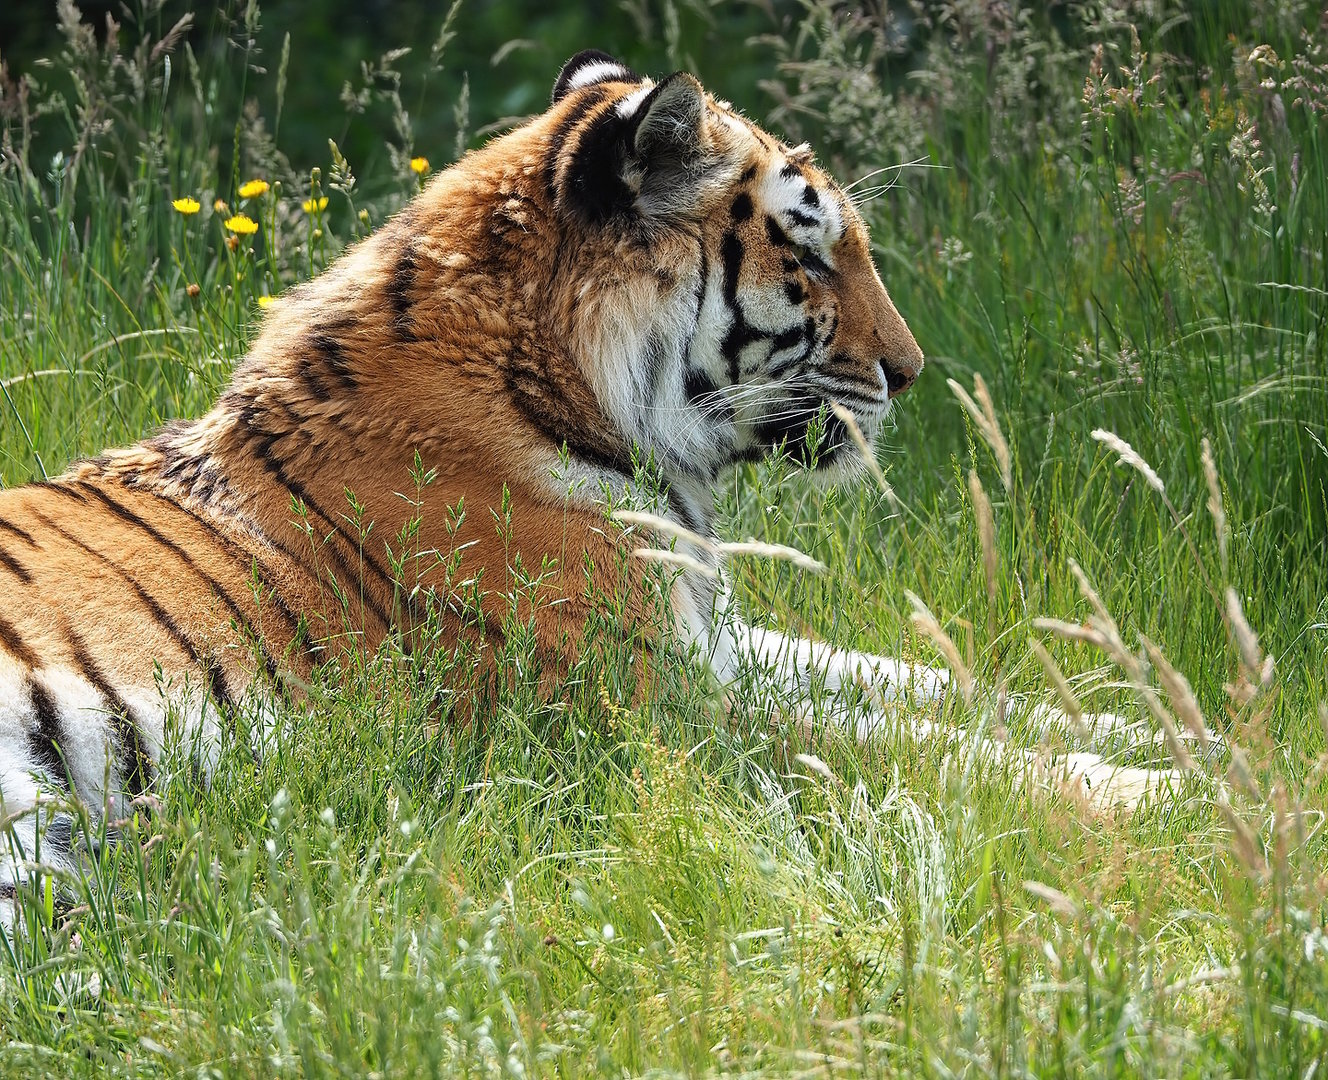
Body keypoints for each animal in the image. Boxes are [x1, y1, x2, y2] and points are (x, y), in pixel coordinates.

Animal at [0, 51, 1168, 930]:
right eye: (811, 256)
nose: (912, 372)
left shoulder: (709, 640)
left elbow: (943, 688)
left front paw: (1175, 723)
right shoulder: (658, 710)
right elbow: (944, 751)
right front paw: (1171, 800)